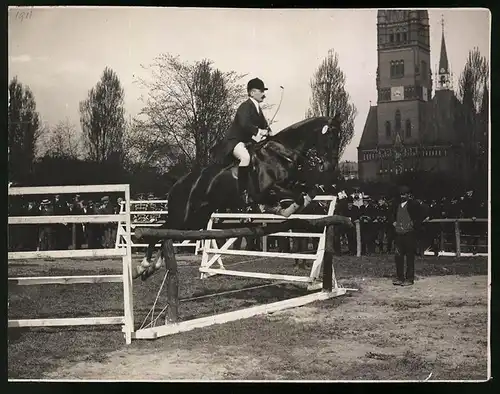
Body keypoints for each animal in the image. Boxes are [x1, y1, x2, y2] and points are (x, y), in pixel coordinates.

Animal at [133, 114, 344, 280]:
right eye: (330, 136)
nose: (330, 166)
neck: (280, 153)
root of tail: (178, 183)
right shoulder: (264, 191)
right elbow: (296, 197)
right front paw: (281, 209)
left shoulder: (290, 185)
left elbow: (305, 192)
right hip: (183, 215)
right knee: (160, 231)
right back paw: (144, 266)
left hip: (195, 219)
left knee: (167, 234)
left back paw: (152, 267)